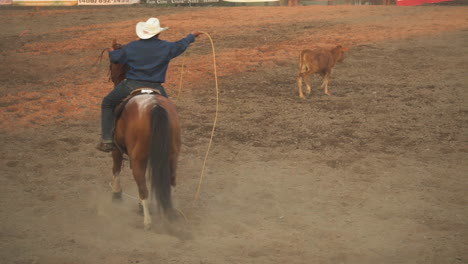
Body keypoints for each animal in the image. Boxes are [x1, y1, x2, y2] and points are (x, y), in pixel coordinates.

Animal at [107, 38, 180, 229]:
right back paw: (171, 210)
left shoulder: (116, 149)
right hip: (172, 155)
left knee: (142, 186)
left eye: (111, 64)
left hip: (138, 157)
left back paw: (147, 221)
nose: (112, 77)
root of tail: (154, 105)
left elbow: (116, 168)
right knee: (170, 182)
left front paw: (116, 194)